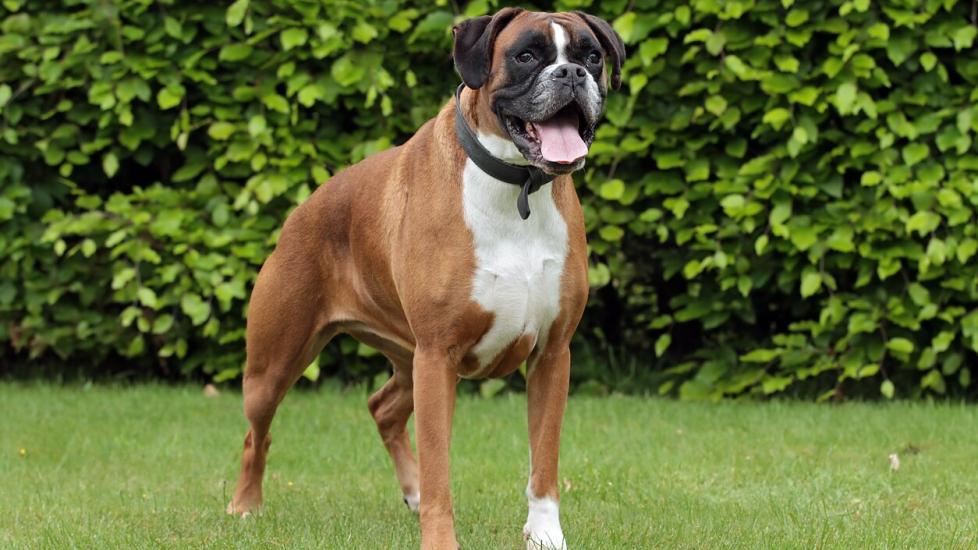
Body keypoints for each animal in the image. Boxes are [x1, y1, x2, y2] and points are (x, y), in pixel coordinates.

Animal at [228, 7, 620, 550]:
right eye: (526, 56)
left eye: (592, 56)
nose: (572, 74)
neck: (515, 186)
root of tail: (304, 208)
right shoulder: (439, 357)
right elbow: (441, 470)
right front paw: (439, 536)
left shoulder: (551, 355)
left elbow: (543, 463)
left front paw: (545, 535)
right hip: (276, 365)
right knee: (256, 434)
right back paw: (246, 505)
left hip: (406, 358)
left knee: (382, 408)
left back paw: (409, 492)